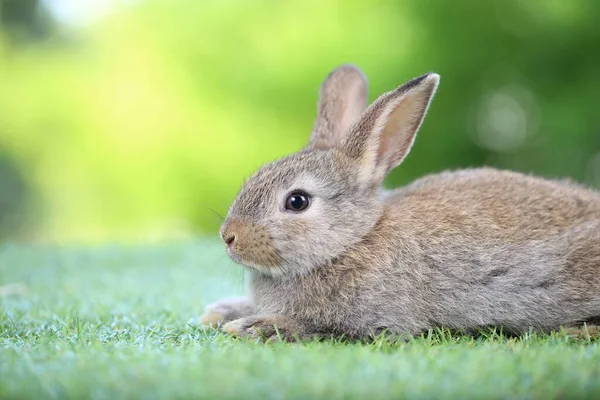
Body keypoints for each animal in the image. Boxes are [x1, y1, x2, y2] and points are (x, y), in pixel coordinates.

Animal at [200, 65, 600, 340]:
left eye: (297, 201)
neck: (352, 241)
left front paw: (257, 326)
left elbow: (329, 329)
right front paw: (221, 312)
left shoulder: (380, 321)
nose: (229, 236)